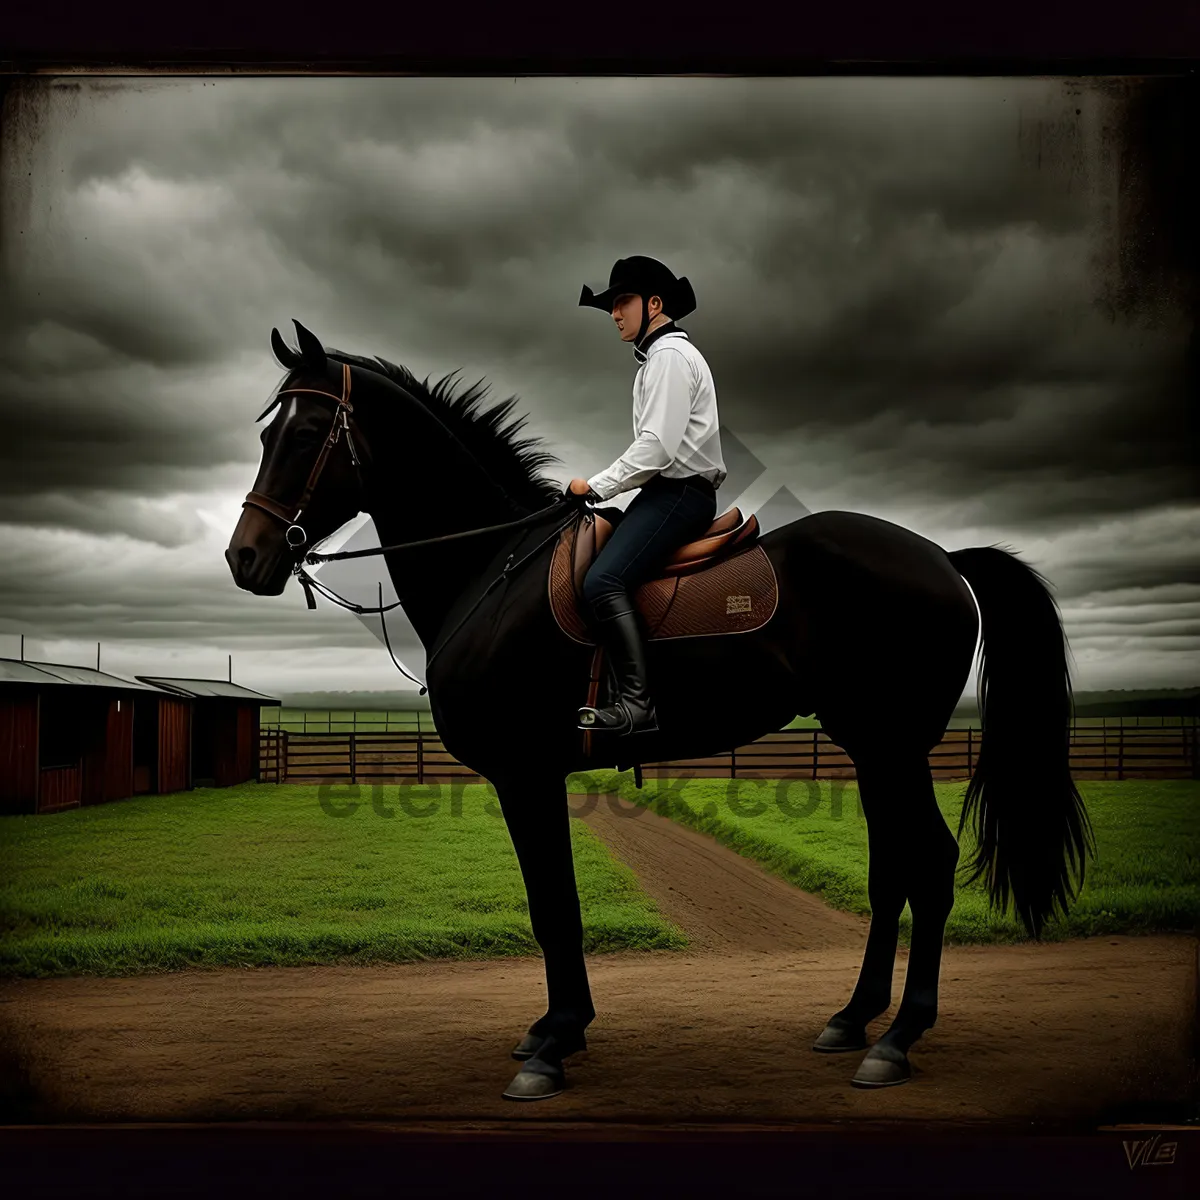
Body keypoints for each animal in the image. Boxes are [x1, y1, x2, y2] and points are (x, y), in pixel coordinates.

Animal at [226, 324, 1099, 1099]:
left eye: (306, 434)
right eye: (269, 431)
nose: (244, 558)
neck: (493, 568)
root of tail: (942, 558)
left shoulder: (525, 775)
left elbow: (555, 907)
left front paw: (556, 1043)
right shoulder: (530, 778)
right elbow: (553, 906)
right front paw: (555, 1031)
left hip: (892, 744)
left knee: (932, 865)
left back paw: (897, 1040)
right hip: (875, 748)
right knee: (893, 872)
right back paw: (853, 1019)